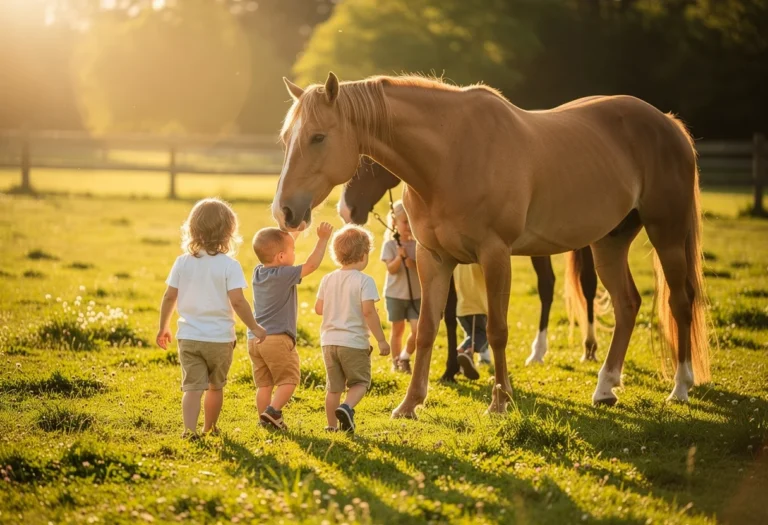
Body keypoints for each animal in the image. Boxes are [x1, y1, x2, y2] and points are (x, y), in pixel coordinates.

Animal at [337, 159, 606, 374]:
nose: (345, 210)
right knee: (548, 284)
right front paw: (451, 369)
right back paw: (538, 352)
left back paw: (589, 348)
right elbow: (449, 311)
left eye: (368, 163)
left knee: (586, 284)